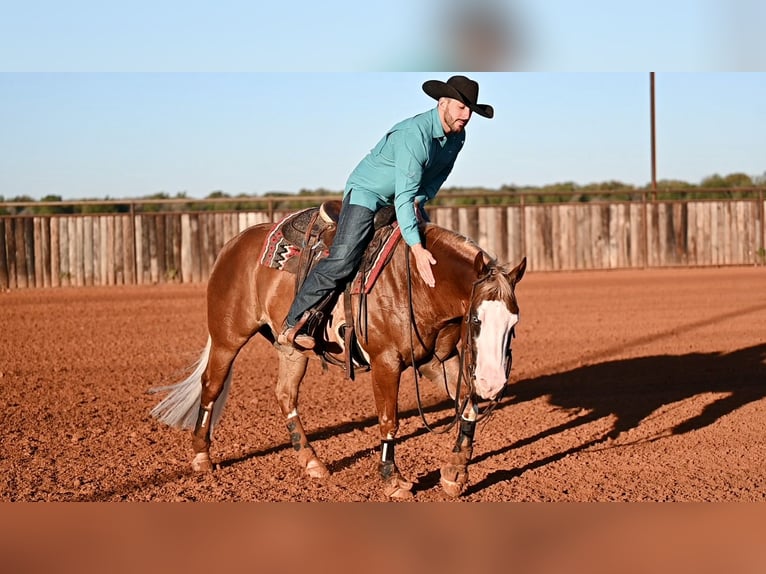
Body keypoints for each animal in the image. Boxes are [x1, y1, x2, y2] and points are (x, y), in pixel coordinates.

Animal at [150, 204, 526, 499]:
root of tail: (232, 244)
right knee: (211, 386)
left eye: (514, 322)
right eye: (475, 319)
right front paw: (392, 479)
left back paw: (312, 462)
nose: (493, 383)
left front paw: (455, 472)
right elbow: (389, 420)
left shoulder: (436, 361)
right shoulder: (386, 362)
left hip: (290, 348)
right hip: (228, 337)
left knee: (285, 395)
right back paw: (201, 457)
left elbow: (468, 407)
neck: (417, 283)